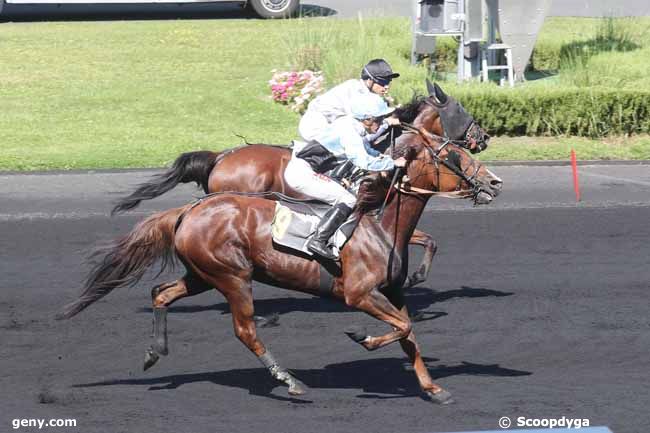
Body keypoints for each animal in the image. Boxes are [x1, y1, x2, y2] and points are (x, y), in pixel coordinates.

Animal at [58, 130, 502, 404]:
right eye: (454, 156)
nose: (495, 183)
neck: (380, 223)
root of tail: (190, 209)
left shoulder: (391, 292)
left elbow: (409, 335)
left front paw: (434, 389)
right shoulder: (359, 294)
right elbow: (402, 327)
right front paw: (363, 337)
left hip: (202, 276)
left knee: (161, 293)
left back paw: (155, 351)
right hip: (232, 278)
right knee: (245, 330)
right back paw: (290, 381)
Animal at [110, 81, 486, 290]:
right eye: (460, 109)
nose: (482, 137)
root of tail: (221, 156)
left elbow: (429, 239)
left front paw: (414, 277)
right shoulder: (361, 208)